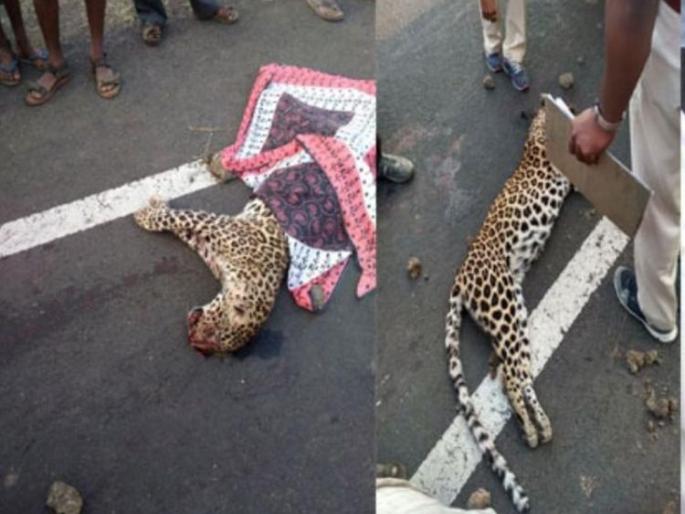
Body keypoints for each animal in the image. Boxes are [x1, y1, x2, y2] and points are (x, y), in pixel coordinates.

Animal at [134, 195, 289, 355]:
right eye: (212, 331)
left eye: (215, 344)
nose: (192, 342)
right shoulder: (213, 223)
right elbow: (171, 218)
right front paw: (147, 212)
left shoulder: (205, 244)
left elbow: (178, 226)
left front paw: (153, 208)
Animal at [445, 105, 572, 513]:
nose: (544, 102)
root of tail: (460, 277)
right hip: (504, 311)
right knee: (514, 377)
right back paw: (534, 428)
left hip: (514, 312)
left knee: (510, 374)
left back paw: (534, 423)